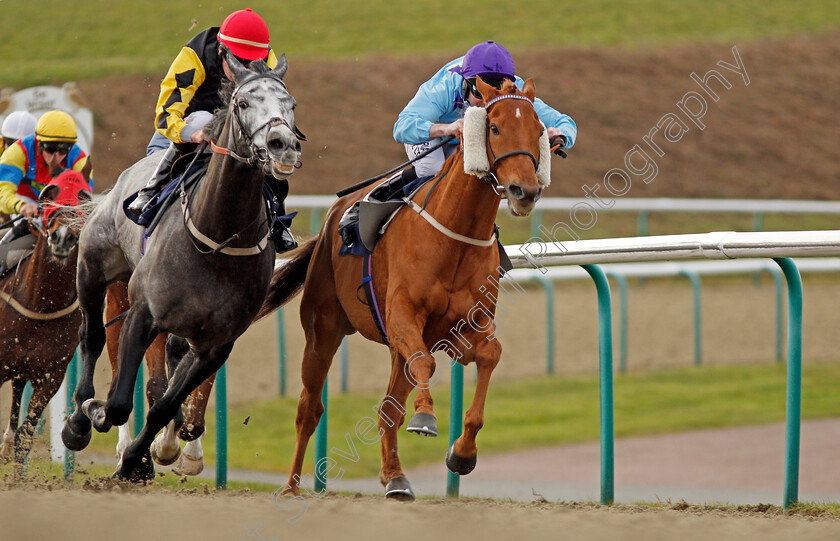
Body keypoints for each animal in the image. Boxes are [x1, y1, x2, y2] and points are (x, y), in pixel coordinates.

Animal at [0, 172, 92, 468]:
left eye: (80, 208)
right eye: (49, 205)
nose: (63, 237)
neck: (41, 303)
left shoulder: (49, 377)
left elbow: (24, 438)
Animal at [256, 78, 548, 500]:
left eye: (539, 130)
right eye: (493, 128)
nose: (524, 190)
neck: (454, 235)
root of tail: (330, 220)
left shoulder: (460, 330)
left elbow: (489, 355)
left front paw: (462, 452)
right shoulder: (403, 317)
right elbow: (426, 363)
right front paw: (425, 417)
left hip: (393, 346)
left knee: (388, 407)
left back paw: (395, 477)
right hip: (323, 329)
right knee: (309, 408)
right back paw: (293, 486)